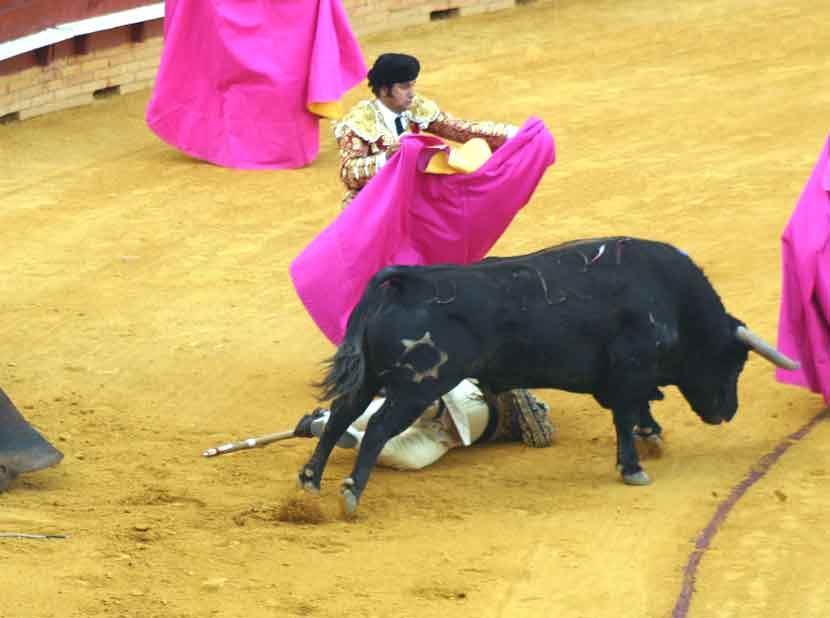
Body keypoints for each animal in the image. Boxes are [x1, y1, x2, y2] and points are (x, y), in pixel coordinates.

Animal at [300, 238, 800, 512]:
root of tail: (410, 282)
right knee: (377, 428)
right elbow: (625, 417)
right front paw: (633, 467)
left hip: (373, 378)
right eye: (734, 362)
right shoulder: (629, 371)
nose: (726, 413)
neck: (672, 299)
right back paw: (350, 493)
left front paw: (652, 437)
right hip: (415, 387)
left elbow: (638, 411)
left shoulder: (626, 379)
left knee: (341, 415)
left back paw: (310, 481)